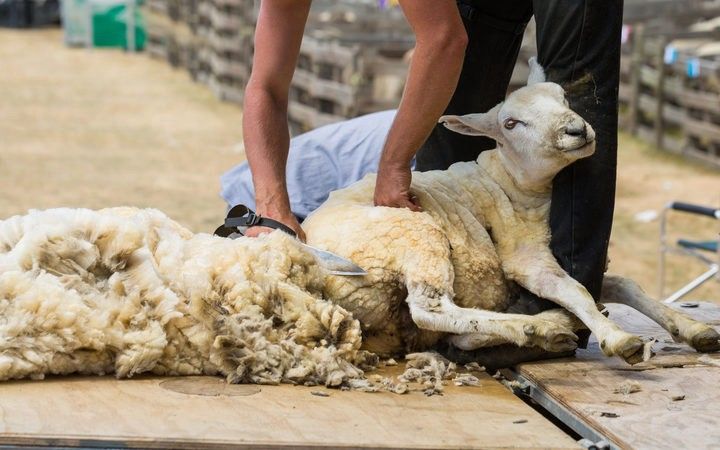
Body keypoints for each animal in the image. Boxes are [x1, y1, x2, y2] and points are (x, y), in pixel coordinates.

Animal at [304, 58, 720, 364]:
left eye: (563, 97)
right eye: (510, 123)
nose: (576, 130)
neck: (514, 184)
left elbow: (622, 285)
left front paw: (693, 329)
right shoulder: (526, 259)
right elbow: (575, 289)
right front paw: (618, 339)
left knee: (446, 332)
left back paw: (542, 328)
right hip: (414, 236)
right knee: (432, 309)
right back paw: (542, 326)